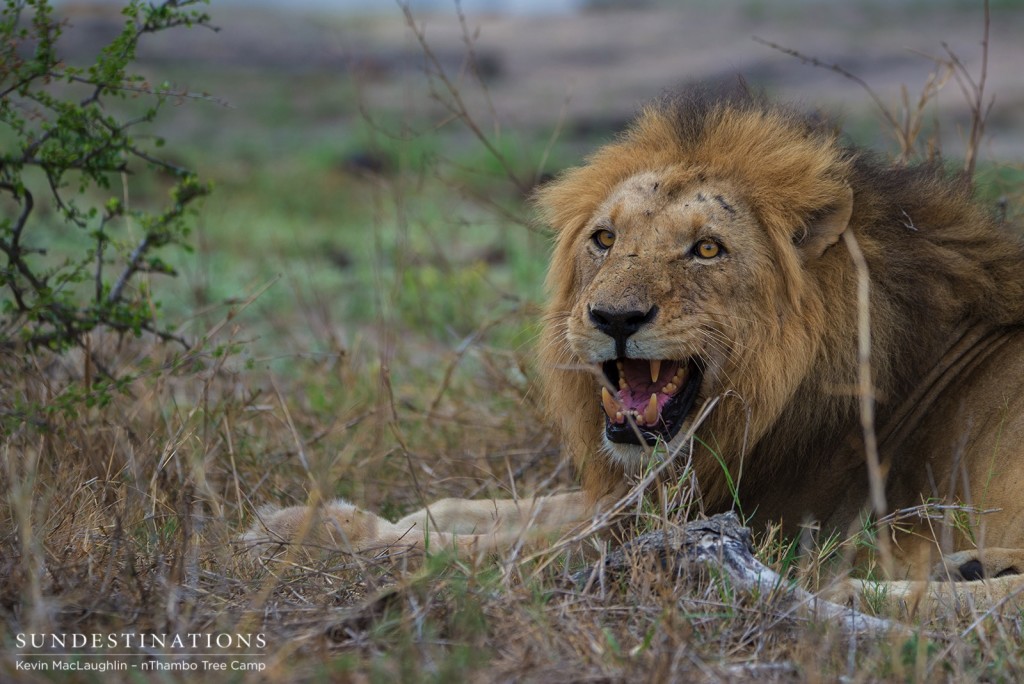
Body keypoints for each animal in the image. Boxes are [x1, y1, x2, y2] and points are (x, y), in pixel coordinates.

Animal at [243, 89, 1024, 597]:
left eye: (707, 249)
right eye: (605, 239)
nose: (614, 317)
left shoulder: (734, 518)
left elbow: (482, 545)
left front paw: (310, 540)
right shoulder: (639, 495)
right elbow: (473, 510)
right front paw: (298, 518)